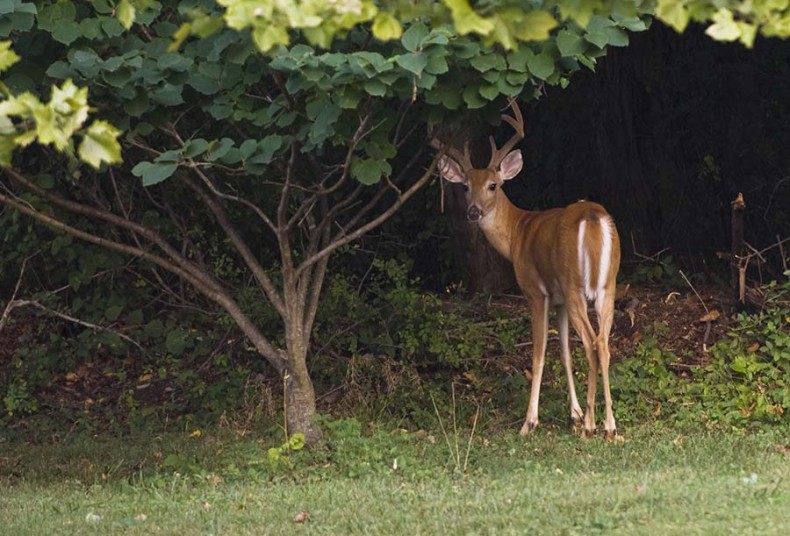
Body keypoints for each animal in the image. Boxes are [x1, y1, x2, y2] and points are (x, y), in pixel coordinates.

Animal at [434, 101, 621, 439]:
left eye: (493, 185)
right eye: (466, 186)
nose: (473, 212)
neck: (517, 233)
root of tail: (592, 217)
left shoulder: (536, 292)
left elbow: (539, 353)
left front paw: (530, 421)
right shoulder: (559, 300)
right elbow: (564, 352)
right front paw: (573, 415)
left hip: (576, 285)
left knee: (592, 344)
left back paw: (592, 426)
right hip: (607, 286)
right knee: (603, 345)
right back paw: (609, 426)